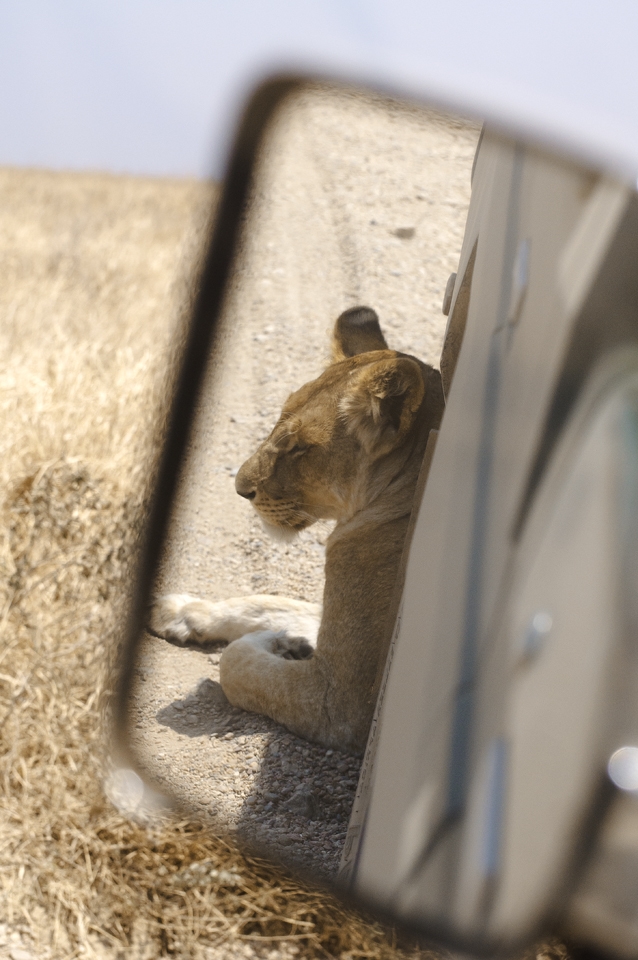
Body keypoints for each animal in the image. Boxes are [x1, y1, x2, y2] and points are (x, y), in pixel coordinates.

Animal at [150, 307, 444, 753]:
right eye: (280, 415)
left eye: (300, 446)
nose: (240, 489)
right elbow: (273, 602)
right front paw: (185, 611)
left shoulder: (341, 703)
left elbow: (237, 661)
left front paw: (274, 643)